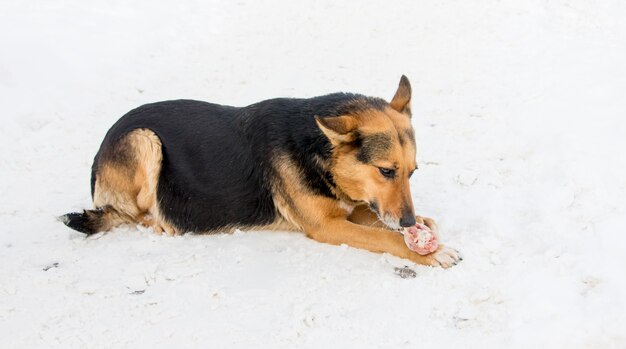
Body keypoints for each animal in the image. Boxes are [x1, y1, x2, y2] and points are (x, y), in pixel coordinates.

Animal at [62, 75, 458, 266]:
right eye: (386, 171)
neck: (320, 153)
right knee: (133, 213)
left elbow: (376, 216)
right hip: (143, 139)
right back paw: (164, 222)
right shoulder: (326, 226)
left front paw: (423, 226)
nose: (408, 222)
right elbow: (386, 237)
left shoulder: (348, 208)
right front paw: (430, 251)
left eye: (412, 172)